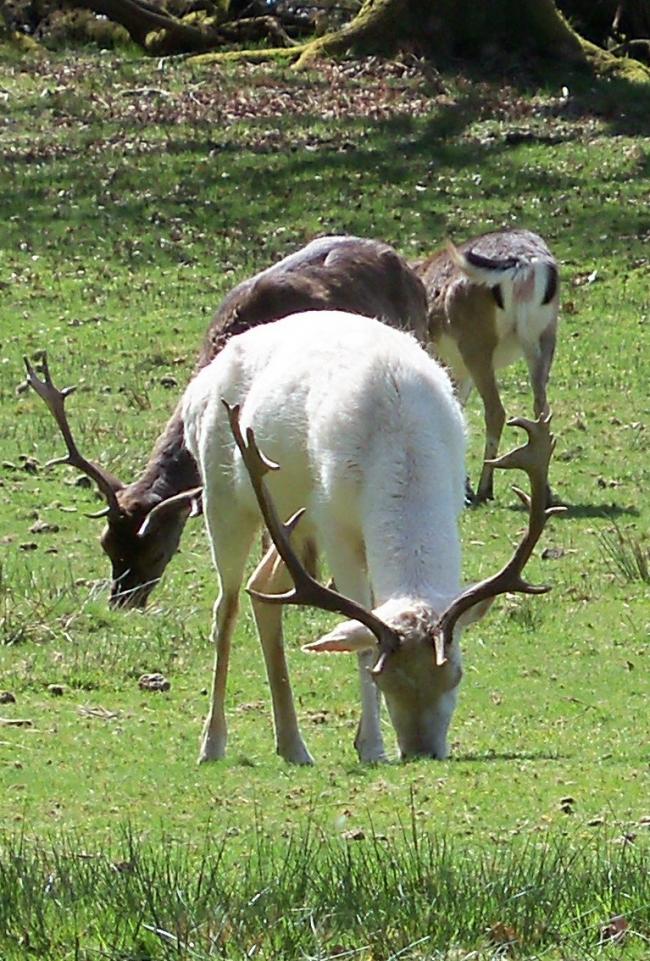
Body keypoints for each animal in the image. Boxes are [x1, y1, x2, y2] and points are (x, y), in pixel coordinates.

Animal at [416, 229, 556, 502]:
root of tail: (524, 268)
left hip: (476, 343)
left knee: (496, 411)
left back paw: (484, 489)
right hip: (544, 333)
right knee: (541, 409)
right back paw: (545, 490)